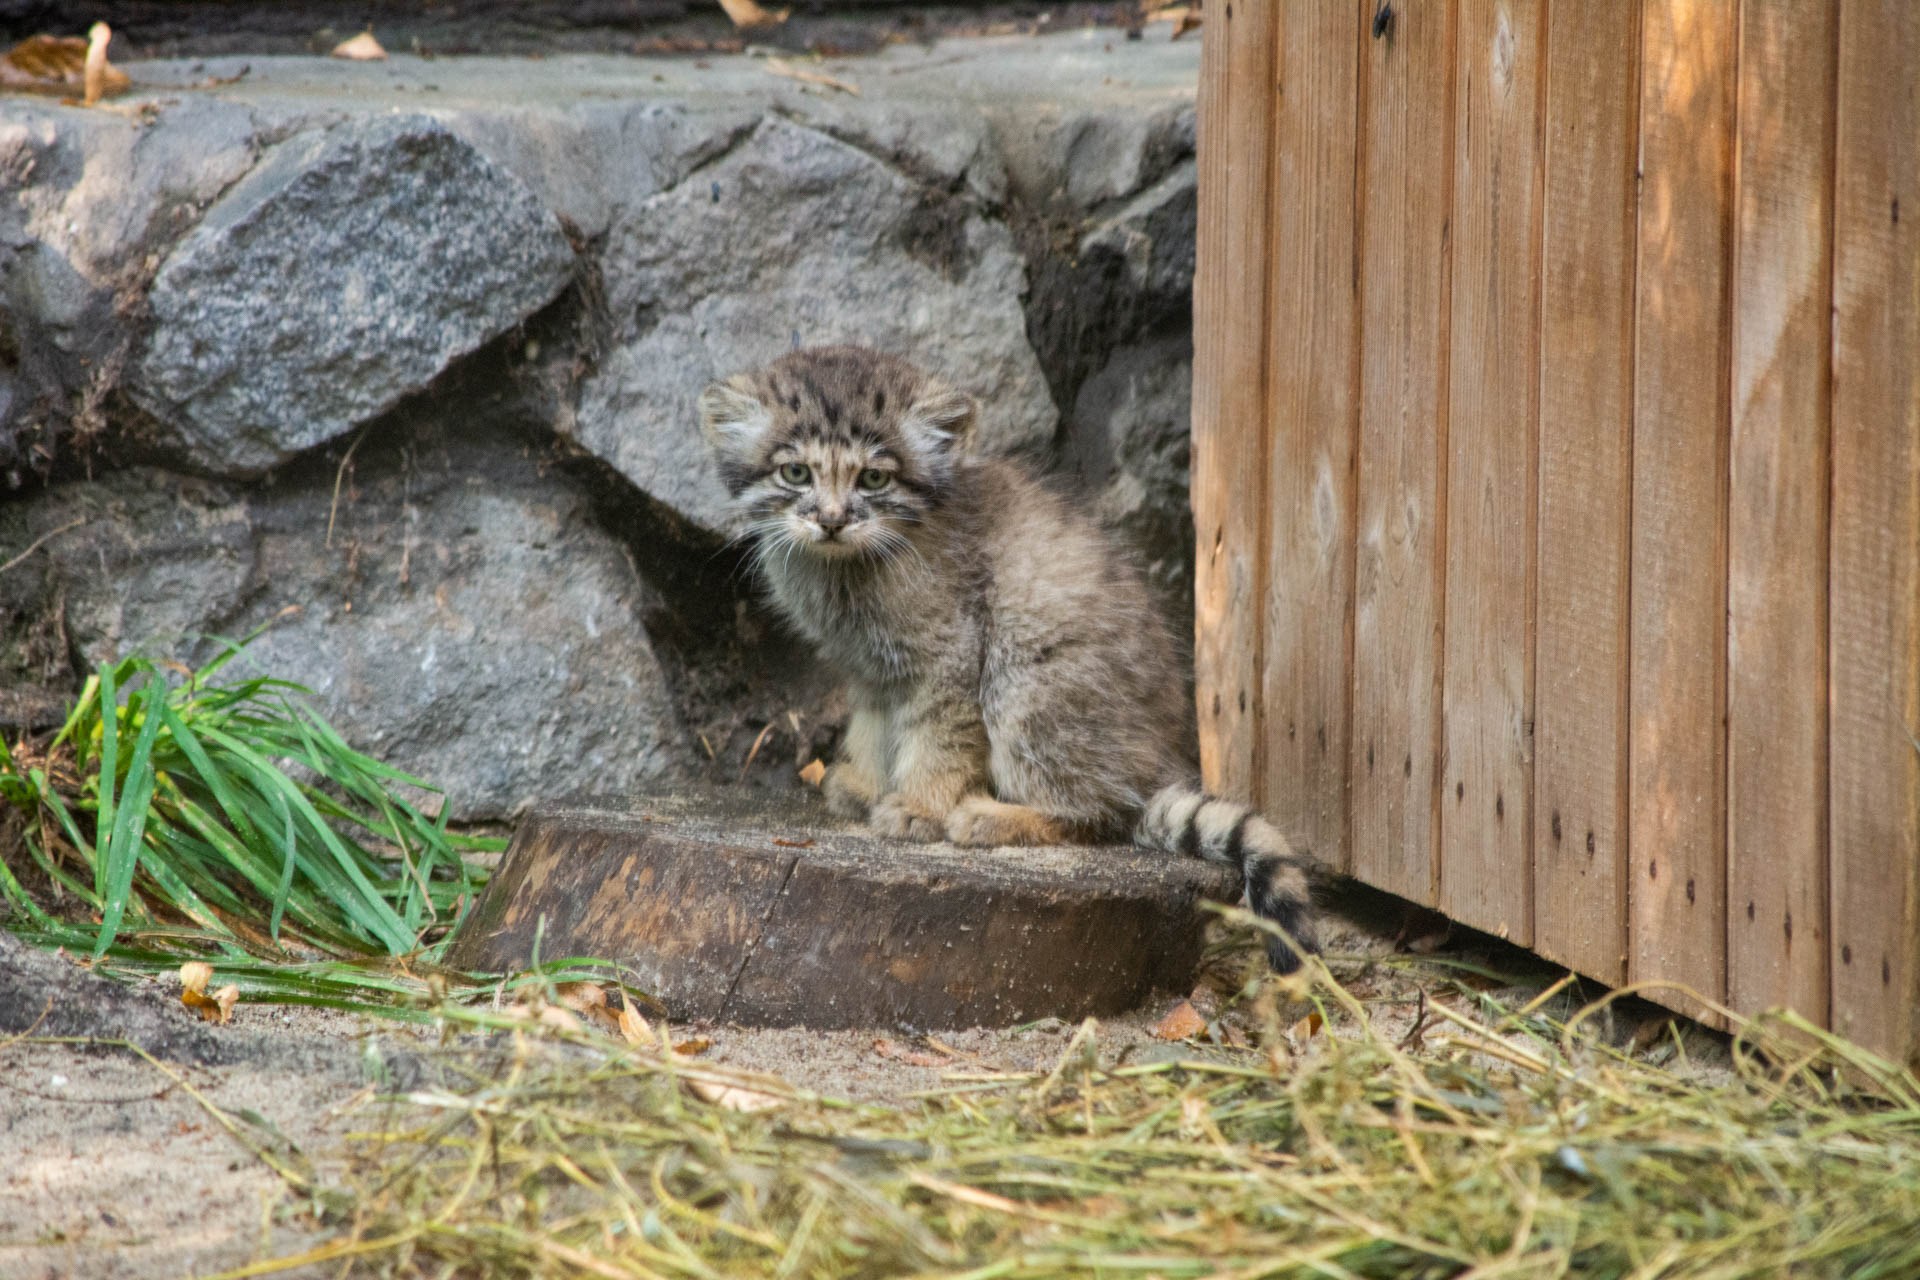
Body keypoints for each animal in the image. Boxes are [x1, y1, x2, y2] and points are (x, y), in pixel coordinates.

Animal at [706, 345, 1320, 967]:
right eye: (796, 473)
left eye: (874, 478)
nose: (831, 520)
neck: (849, 566)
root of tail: (1153, 769)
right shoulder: (870, 670)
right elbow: (875, 728)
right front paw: (869, 784)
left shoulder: (952, 653)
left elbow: (939, 735)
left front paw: (920, 805)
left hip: (1027, 688)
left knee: (1102, 816)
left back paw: (991, 816)